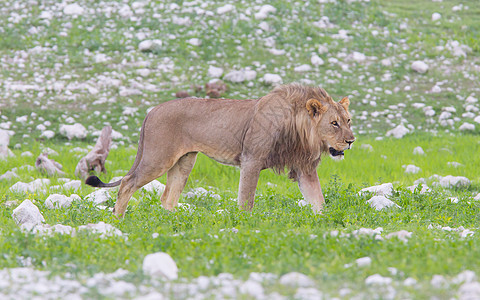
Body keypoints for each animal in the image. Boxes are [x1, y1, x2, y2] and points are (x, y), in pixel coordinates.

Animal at [85, 83, 356, 217]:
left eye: (348, 120)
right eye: (334, 123)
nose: (351, 141)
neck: (302, 131)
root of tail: (152, 111)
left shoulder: (304, 168)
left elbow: (318, 200)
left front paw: (324, 224)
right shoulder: (251, 159)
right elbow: (246, 199)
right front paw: (245, 225)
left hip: (184, 161)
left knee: (168, 196)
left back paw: (170, 223)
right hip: (158, 157)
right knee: (127, 182)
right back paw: (118, 220)